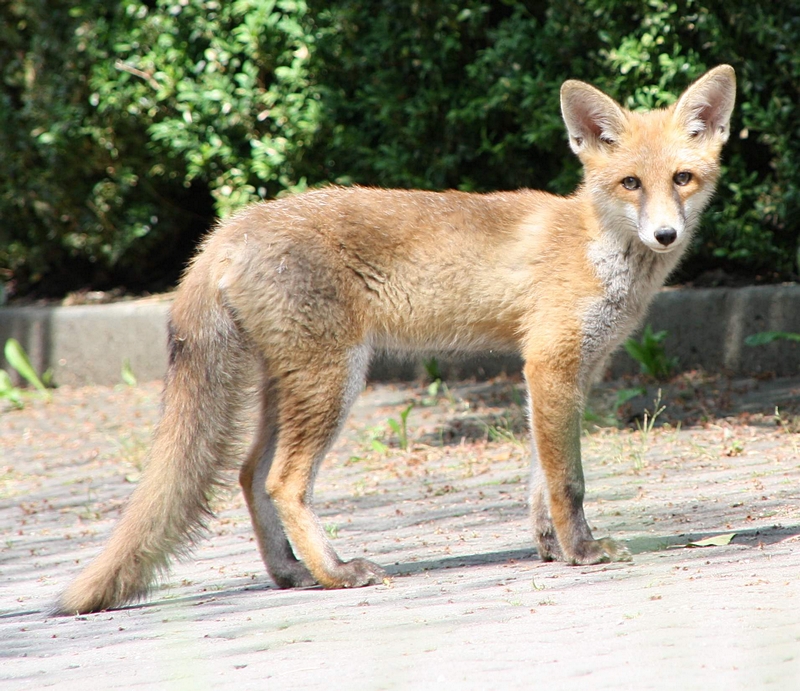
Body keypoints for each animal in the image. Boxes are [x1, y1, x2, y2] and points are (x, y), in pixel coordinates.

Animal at [55, 65, 736, 614]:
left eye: (682, 178)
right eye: (630, 184)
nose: (667, 236)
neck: (597, 246)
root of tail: (229, 228)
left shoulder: (569, 374)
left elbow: (541, 480)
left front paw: (553, 549)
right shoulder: (550, 364)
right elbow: (568, 481)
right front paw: (585, 553)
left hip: (291, 385)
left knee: (249, 475)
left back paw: (290, 573)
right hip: (335, 381)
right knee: (282, 483)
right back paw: (336, 574)